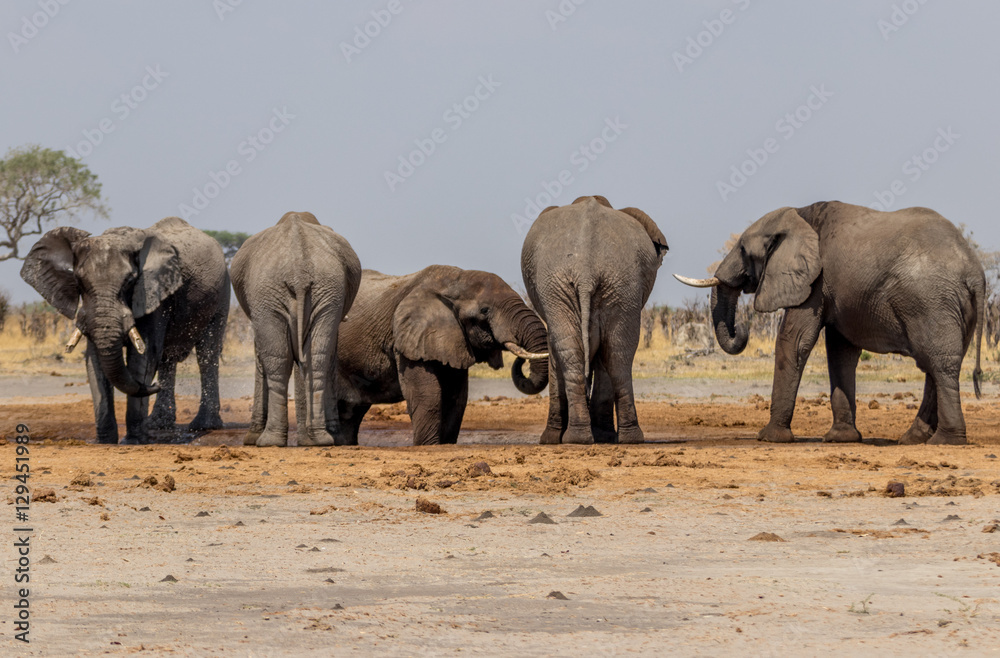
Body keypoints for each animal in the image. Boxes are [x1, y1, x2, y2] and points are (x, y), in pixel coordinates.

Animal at [20, 217, 230, 444]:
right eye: (78, 281)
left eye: (130, 281)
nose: (153, 385)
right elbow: (95, 360)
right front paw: (104, 442)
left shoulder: (151, 293)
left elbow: (143, 357)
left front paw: (133, 441)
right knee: (167, 360)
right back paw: (157, 424)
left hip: (222, 293)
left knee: (206, 354)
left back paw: (203, 426)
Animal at [230, 211, 361, 447]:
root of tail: (298, 269)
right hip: (320, 291)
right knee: (315, 358)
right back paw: (319, 439)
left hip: (272, 294)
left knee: (281, 360)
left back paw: (271, 440)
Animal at [333, 265, 549, 446]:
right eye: (484, 310)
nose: (521, 358)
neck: (455, 281)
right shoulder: (408, 340)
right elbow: (428, 395)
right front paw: (427, 446)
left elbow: (456, 397)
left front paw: (445, 444)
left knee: (352, 411)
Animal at [521, 195, 668, 445]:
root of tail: (585, 270)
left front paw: (553, 438)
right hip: (616, 286)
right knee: (616, 353)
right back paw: (622, 438)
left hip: (585, 285)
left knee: (587, 352)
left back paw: (583, 437)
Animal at [675, 200, 985, 445]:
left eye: (742, 249)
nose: (742, 328)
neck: (800, 215)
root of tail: (975, 273)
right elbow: (839, 352)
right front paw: (841, 439)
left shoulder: (813, 281)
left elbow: (793, 341)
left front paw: (770, 437)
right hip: (954, 306)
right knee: (936, 364)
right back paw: (912, 439)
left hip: (931, 301)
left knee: (939, 363)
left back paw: (945, 441)